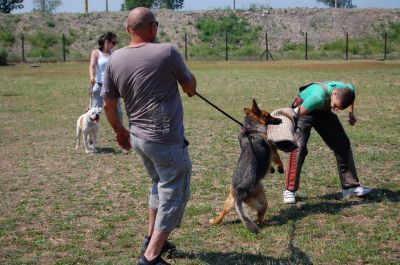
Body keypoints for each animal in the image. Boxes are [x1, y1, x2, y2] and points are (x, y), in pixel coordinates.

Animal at [209, 99, 284, 231]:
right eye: (268, 115)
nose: (280, 120)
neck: (251, 128)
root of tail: (240, 191)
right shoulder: (273, 149)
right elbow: (278, 159)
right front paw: (280, 168)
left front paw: (271, 169)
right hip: (262, 200)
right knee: (260, 218)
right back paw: (267, 223)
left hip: (230, 201)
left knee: (222, 213)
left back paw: (214, 221)